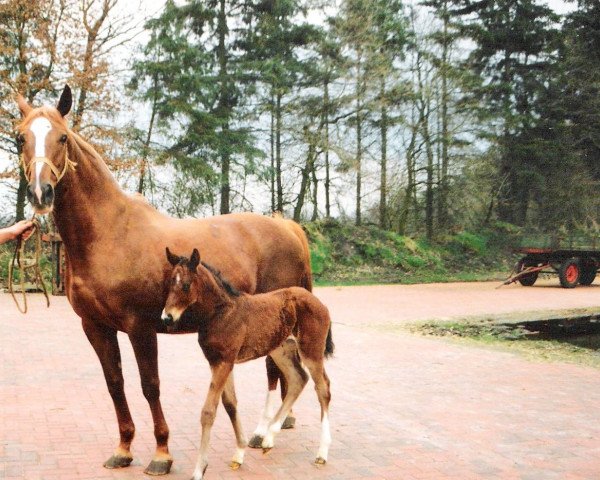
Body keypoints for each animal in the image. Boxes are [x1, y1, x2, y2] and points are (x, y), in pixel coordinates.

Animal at [15, 87, 312, 476]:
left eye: (62, 137)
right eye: (20, 138)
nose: (41, 193)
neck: (109, 234)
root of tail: (287, 227)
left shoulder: (140, 327)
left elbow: (150, 385)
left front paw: (161, 454)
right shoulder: (95, 326)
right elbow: (115, 384)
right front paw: (124, 448)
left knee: (274, 371)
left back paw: (263, 433)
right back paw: (279, 424)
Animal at [162, 248, 336, 480]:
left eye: (186, 285)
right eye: (170, 283)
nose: (167, 318)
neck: (220, 313)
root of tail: (318, 301)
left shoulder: (224, 362)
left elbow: (209, 411)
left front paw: (199, 469)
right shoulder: (218, 362)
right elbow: (230, 404)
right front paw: (239, 453)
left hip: (311, 351)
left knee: (323, 388)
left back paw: (322, 452)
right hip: (280, 349)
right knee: (298, 379)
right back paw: (268, 439)